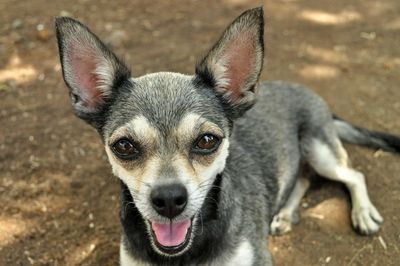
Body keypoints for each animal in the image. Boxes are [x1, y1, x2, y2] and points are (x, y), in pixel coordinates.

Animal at [54, 7, 398, 264]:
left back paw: (362, 212)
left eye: (207, 141)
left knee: (352, 174)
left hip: (321, 151)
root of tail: (306, 90)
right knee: (302, 177)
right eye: (124, 146)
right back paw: (285, 214)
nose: (169, 199)